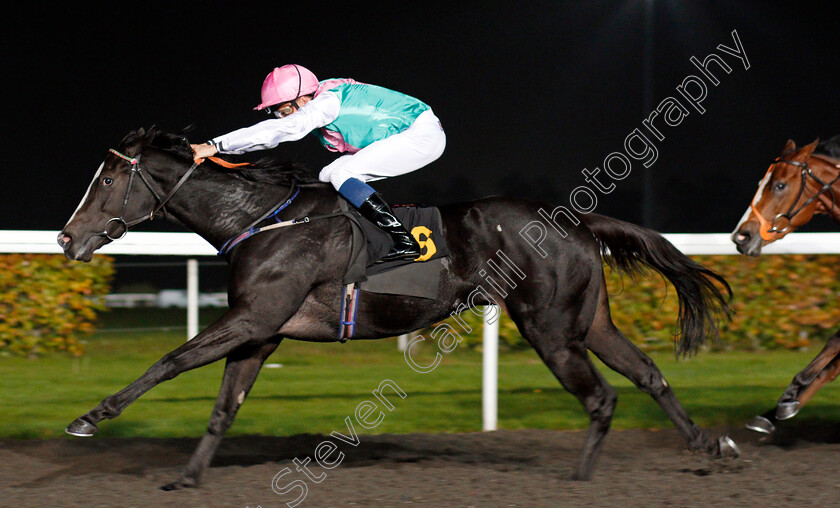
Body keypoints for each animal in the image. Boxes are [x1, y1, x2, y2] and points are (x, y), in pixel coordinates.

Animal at [59, 127, 740, 488]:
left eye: (106, 181)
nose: (66, 239)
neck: (260, 219)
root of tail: (575, 221)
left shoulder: (254, 318)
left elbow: (170, 361)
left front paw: (89, 418)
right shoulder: (262, 331)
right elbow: (225, 406)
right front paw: (188, 477)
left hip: (548, 328)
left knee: (601, 397)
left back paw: (579, 479)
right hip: (587, 321)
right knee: (647, 373)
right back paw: (709, 447)